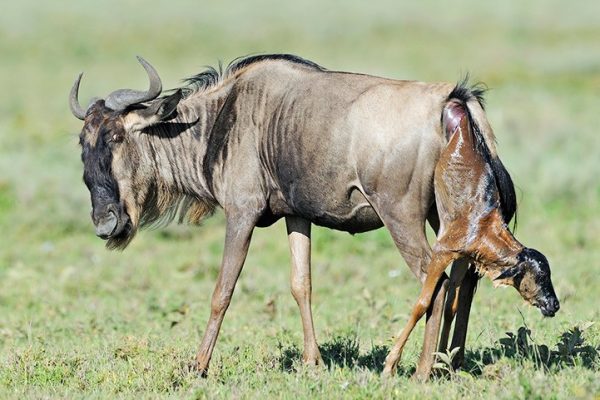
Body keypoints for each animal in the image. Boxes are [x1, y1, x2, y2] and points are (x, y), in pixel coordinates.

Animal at [382, 89, 560, 376]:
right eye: (541, 276)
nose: (554, 304)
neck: (484, 228)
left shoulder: (463, 258)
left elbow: (451, 306)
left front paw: (442, 362)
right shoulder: (441, 252)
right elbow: (422, 304)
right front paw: (390, 364)